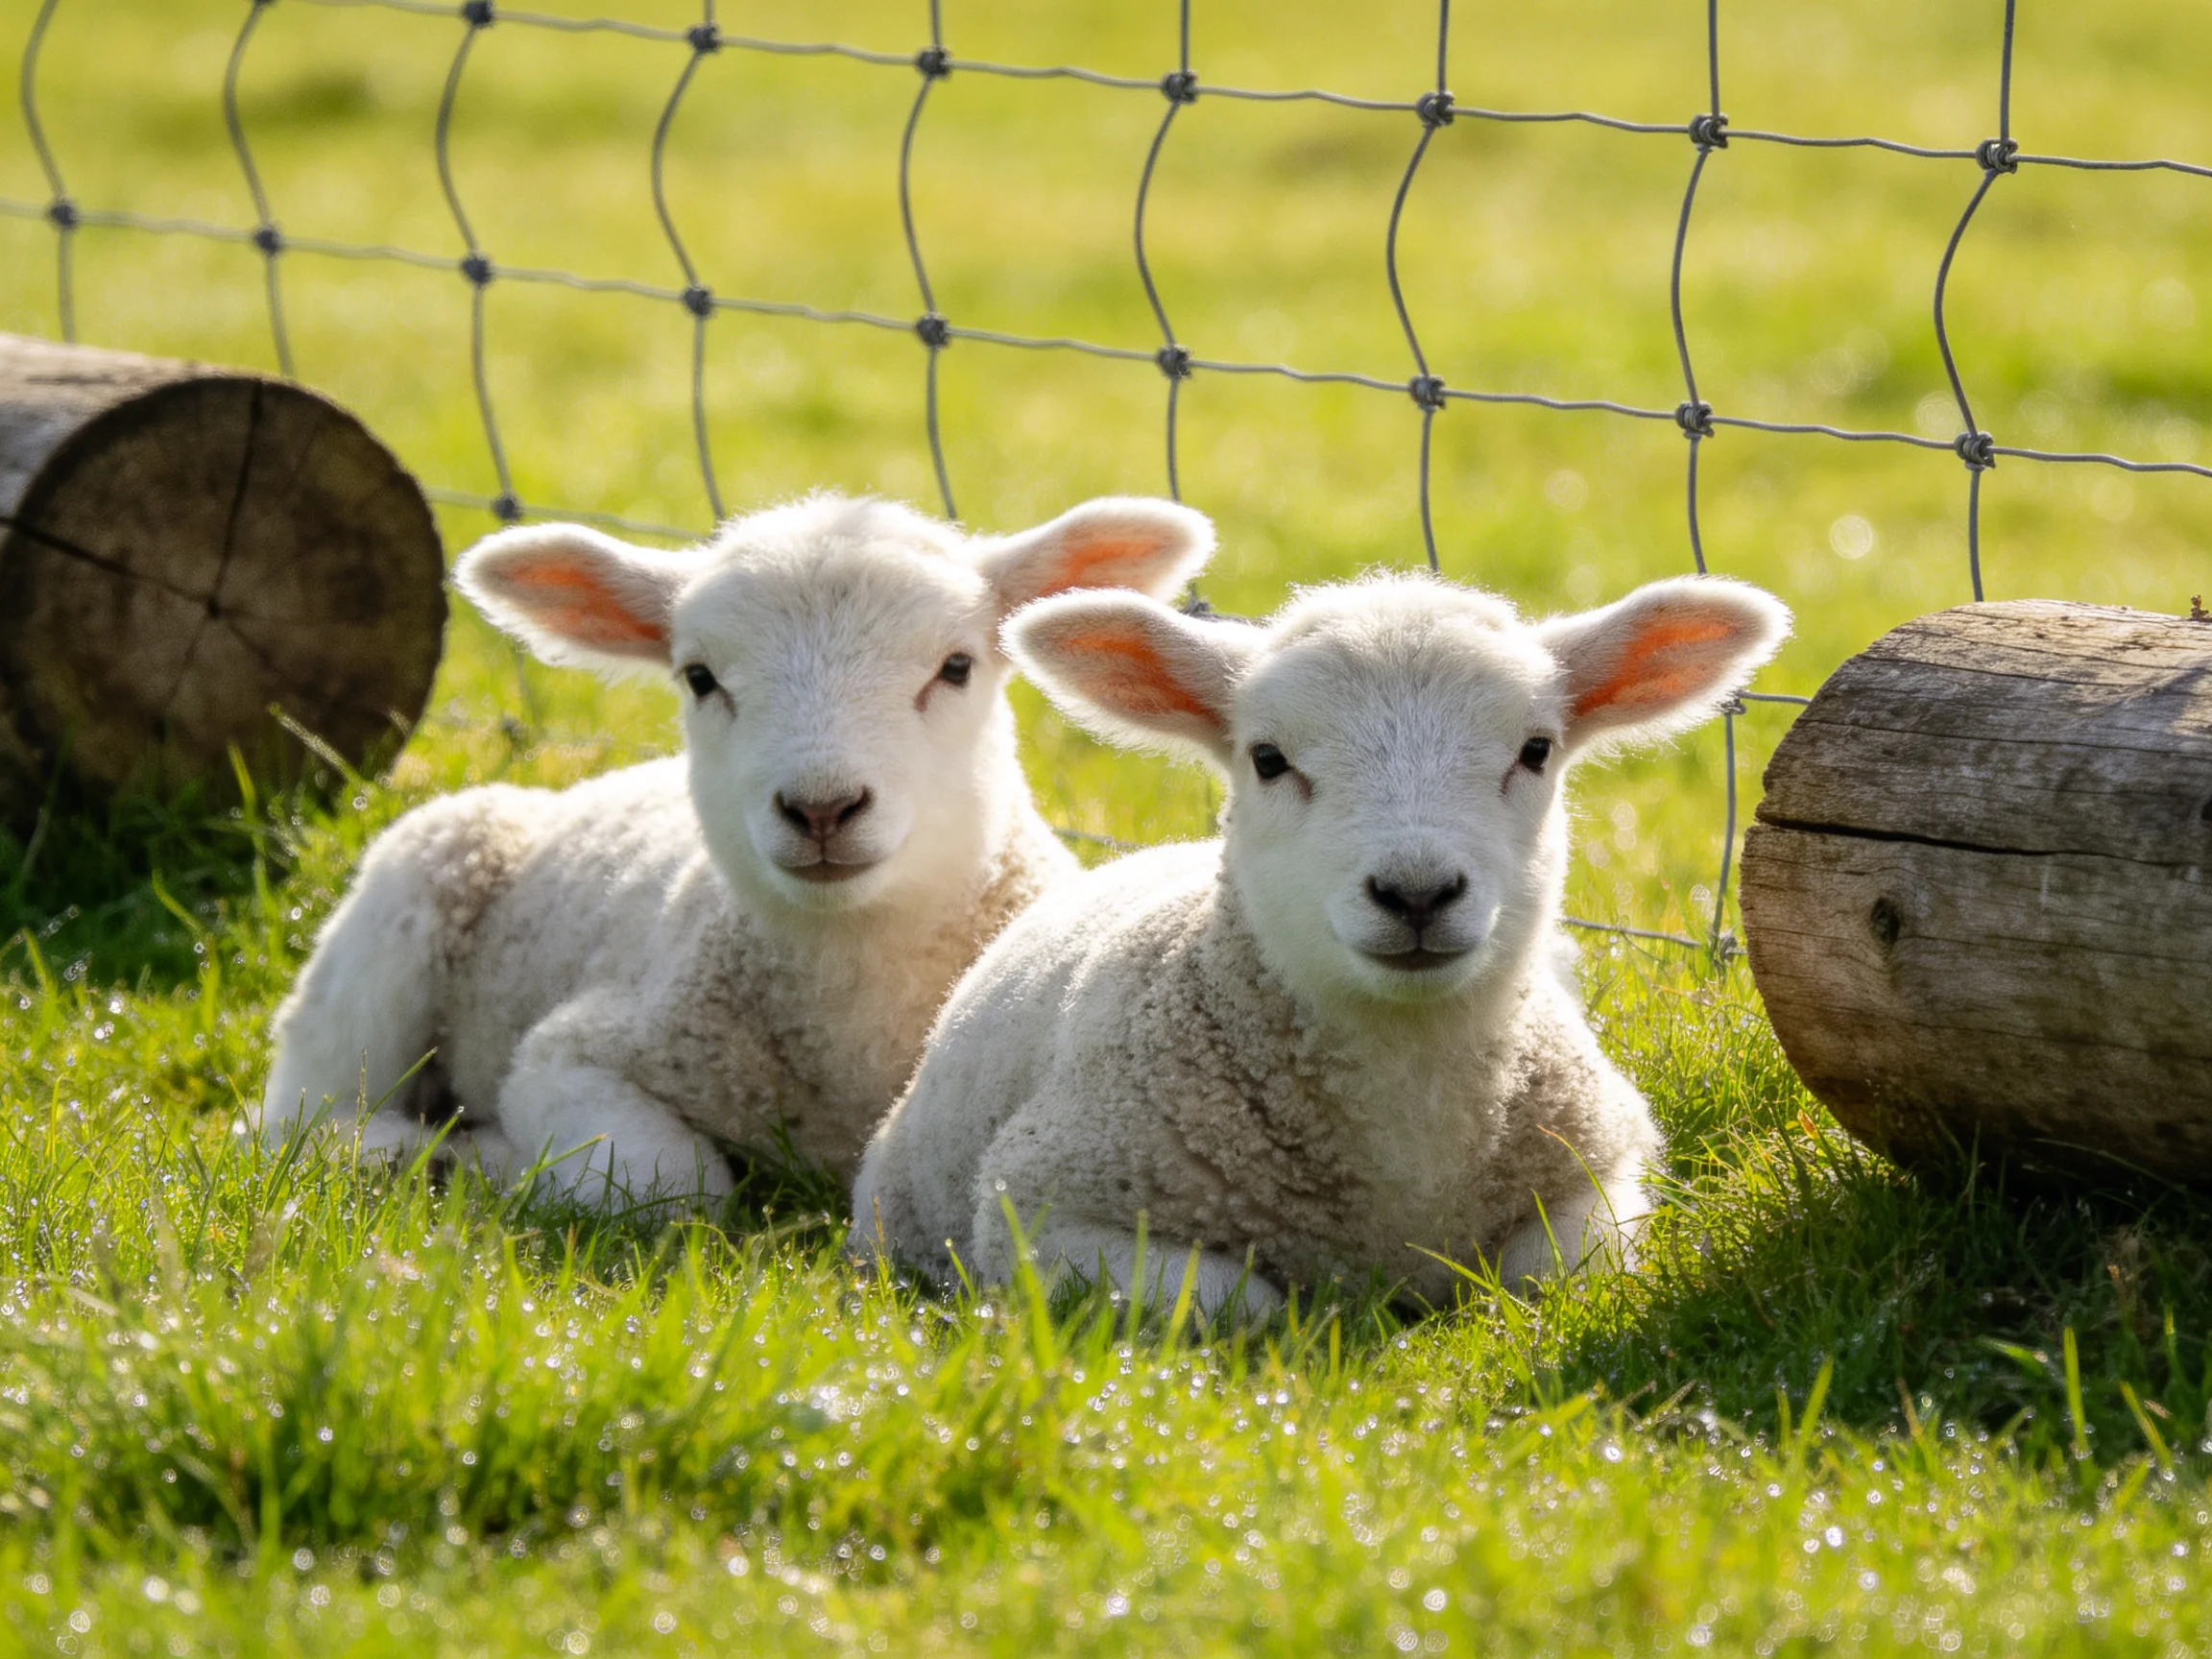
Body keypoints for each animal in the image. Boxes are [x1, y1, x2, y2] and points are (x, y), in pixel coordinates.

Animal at [257, 493, 1216, 1204]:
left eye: (955, 668)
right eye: (699, 677)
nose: (822, 808)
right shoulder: (570, 1053)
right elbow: (669, 1185)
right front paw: (496, 1155)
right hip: (404, 905)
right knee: (296, 1116)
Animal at [851, 568, 1790, 1315]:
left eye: (1535, 750)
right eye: (1267, 759)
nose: (1417, 892)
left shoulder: (1601, 1173)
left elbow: (1549, 1278)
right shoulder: (1044, 1212)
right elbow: (1239, 1305)